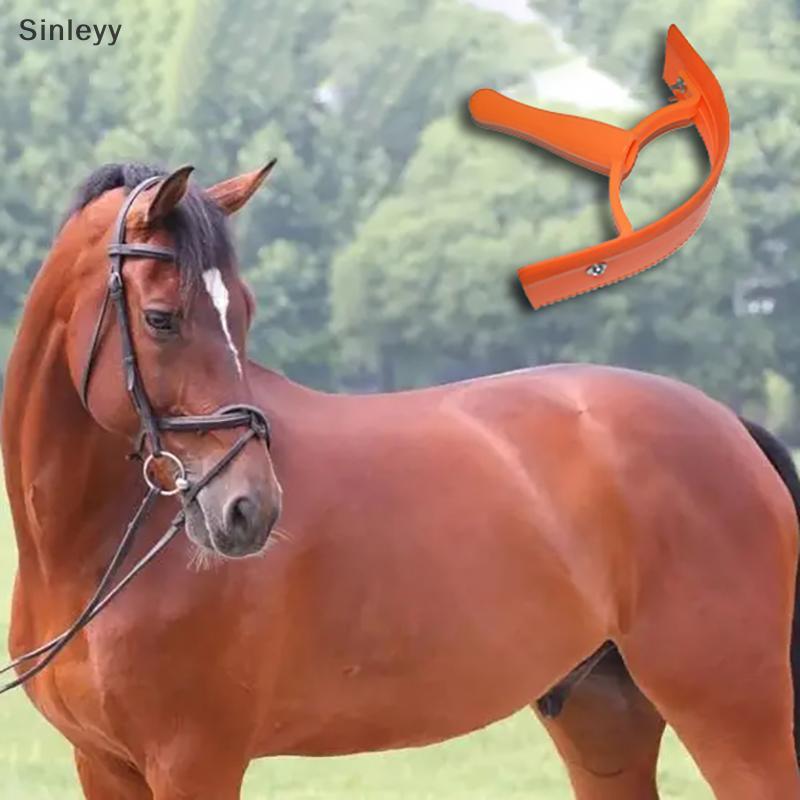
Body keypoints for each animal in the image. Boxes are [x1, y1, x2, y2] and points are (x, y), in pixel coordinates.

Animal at [3, 162, 799, 799]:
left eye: (246, 313)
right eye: (162, 318)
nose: (249, 510)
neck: (89, 553)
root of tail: (730, 424)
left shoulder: (194, 761)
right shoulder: (103, 764)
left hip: (734, 714)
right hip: (604, 719)